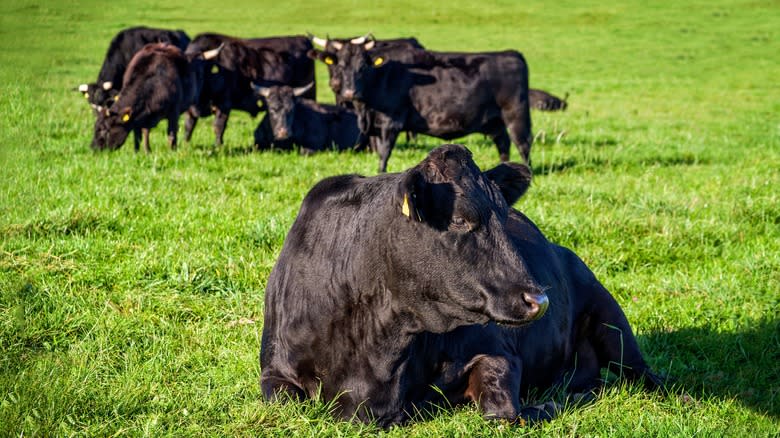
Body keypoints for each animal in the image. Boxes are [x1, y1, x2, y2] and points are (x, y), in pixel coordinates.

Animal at [184, 33, 316, 145]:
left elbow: (218, 127)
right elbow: (188, 127)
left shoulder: (224, 104)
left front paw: (218, 146)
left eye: (200, 70)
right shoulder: (190, 110)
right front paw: (186, 145)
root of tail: (302, 38)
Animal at [258, 144, 660, 428]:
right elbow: (282, 400)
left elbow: (504, 414)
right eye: (460, 220)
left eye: (503, 216)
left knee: (644, 373)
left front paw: (548, 403)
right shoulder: (274, 370)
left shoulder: (496, 349)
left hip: (612, 321)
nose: (539, 299)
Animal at [308, 40, 532, 172]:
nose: (349, 92)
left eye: (362, 67)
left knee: (523, 143)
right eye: (339, 66)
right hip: (496, 121)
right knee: (503, 143)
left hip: (516, 114)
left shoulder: (391, 121)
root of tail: (511, 53)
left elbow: (384, 153)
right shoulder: (377, 126)